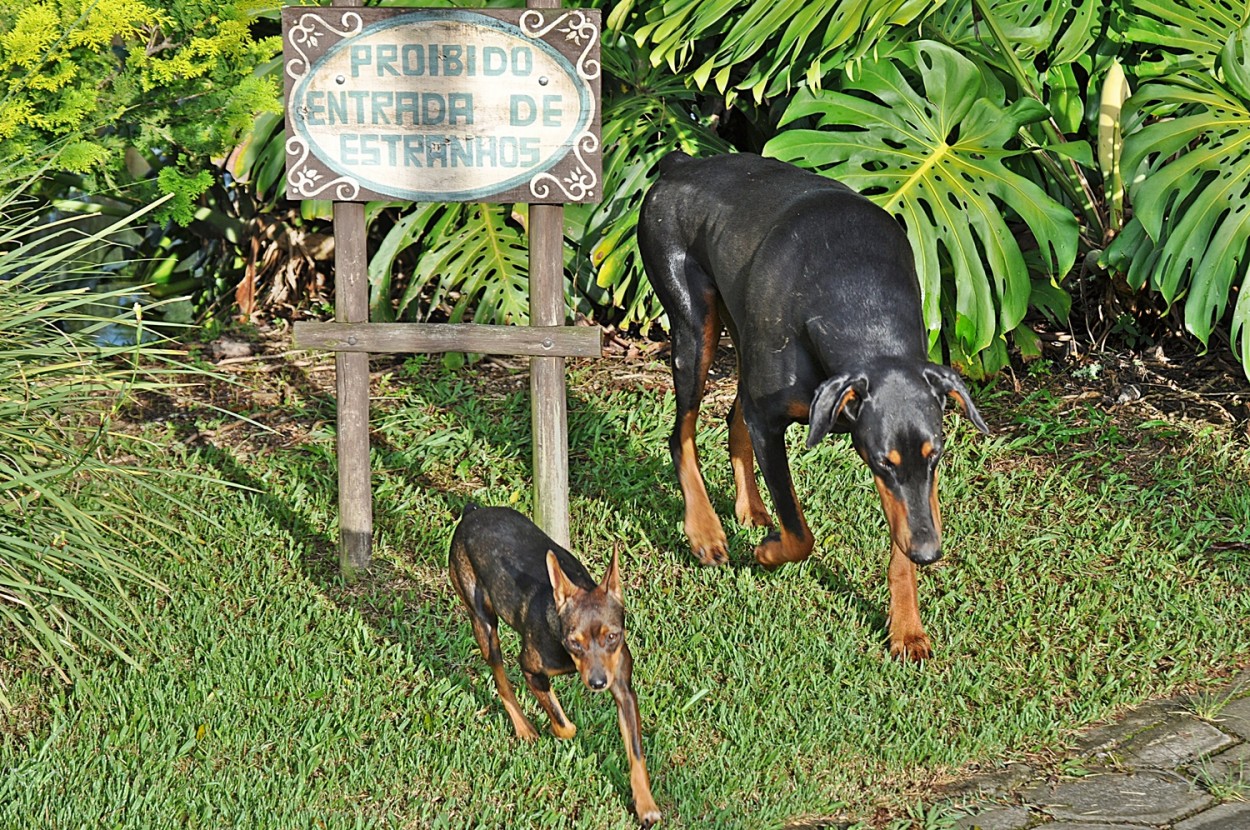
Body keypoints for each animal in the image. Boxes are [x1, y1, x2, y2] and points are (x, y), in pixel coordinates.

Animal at [450, 502, 665, 825]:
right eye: (575, 642)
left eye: (612, 636)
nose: (598, 683)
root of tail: (472, 511)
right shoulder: (531, 670)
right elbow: (566, 725)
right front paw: (555, 730)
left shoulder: (624, 690)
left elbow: (636, 752)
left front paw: (645, 805)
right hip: (484, 623)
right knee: (501, 679)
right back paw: (524, 728)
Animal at [640, 150, 990, 660]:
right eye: (882, 462)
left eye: (937, 456)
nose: (930, 553)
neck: (861, 300)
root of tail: (679, 163)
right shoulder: (771, 422)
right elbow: (799, 532)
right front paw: (768, 553)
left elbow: (901, 532)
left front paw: (907, 629)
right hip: (693, 327)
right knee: (682, 432)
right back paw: (705, 532)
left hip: (740, 328)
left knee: (732, 414)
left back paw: (750, 508)